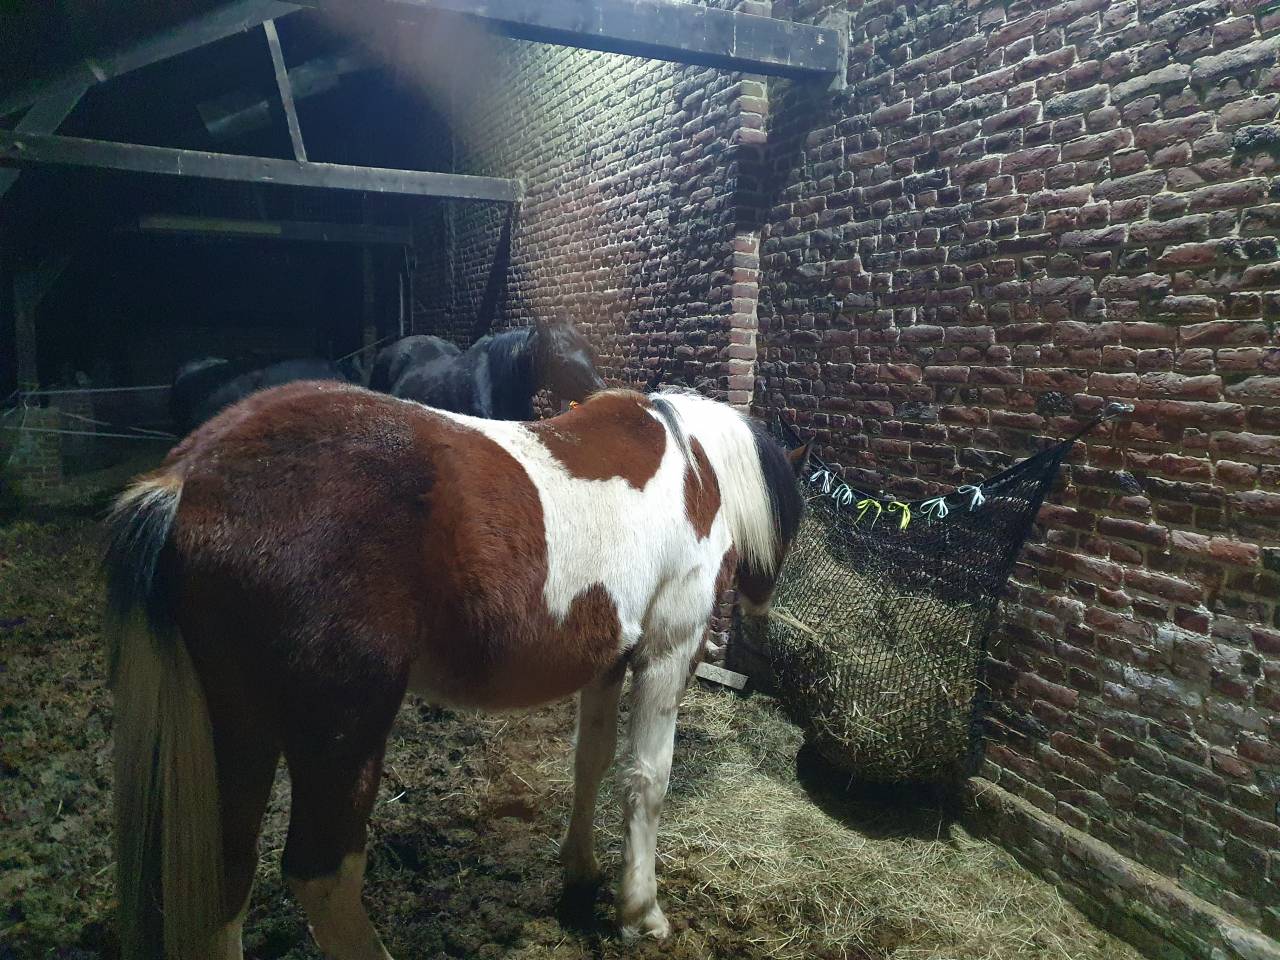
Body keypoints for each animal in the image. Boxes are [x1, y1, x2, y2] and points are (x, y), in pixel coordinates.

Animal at [104, 382, 809, 960]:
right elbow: (646, 779)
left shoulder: (607, 663)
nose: (760, 615)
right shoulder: (666, 652)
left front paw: (579, 870)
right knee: (320, 875)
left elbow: (591, 763)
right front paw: (641, 912)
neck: (694, 465)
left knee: (224, 878)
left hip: (238, 730)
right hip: (342, 731)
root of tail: (187, 480)